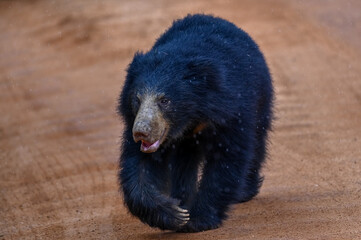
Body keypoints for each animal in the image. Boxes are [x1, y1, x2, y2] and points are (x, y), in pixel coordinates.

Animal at [116, 13, 272, 232]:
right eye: (137, 99)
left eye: (165, 100)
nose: (141, 132)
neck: (192, 116)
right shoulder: (136, 120)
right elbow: (140, 167)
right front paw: (175, 214)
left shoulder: (232, 111)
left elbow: (227, 159)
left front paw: (198, 218)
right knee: (184, 163)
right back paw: (183, 198)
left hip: (261, 98)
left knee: (257, 142)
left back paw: (245, 191)